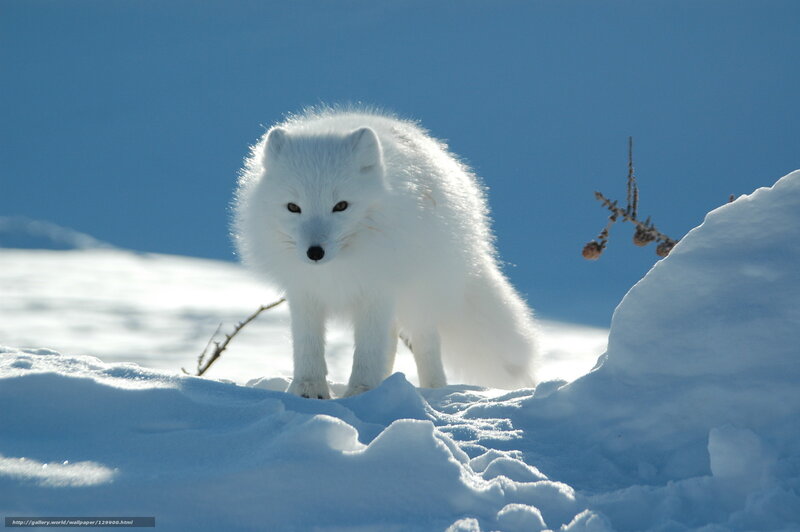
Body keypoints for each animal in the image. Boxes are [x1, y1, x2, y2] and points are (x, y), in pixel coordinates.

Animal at [233, 107, 537, 398]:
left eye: (341, 206)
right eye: (293, 207)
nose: (314, 253)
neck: (338, 268)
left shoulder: (376, 289)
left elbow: (368, 350)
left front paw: (362, 391)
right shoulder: (304, 292)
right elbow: (308, 345)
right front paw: (308, 390)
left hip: (420, 295)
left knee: (425, 343)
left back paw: (433, 390)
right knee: (390, 341)